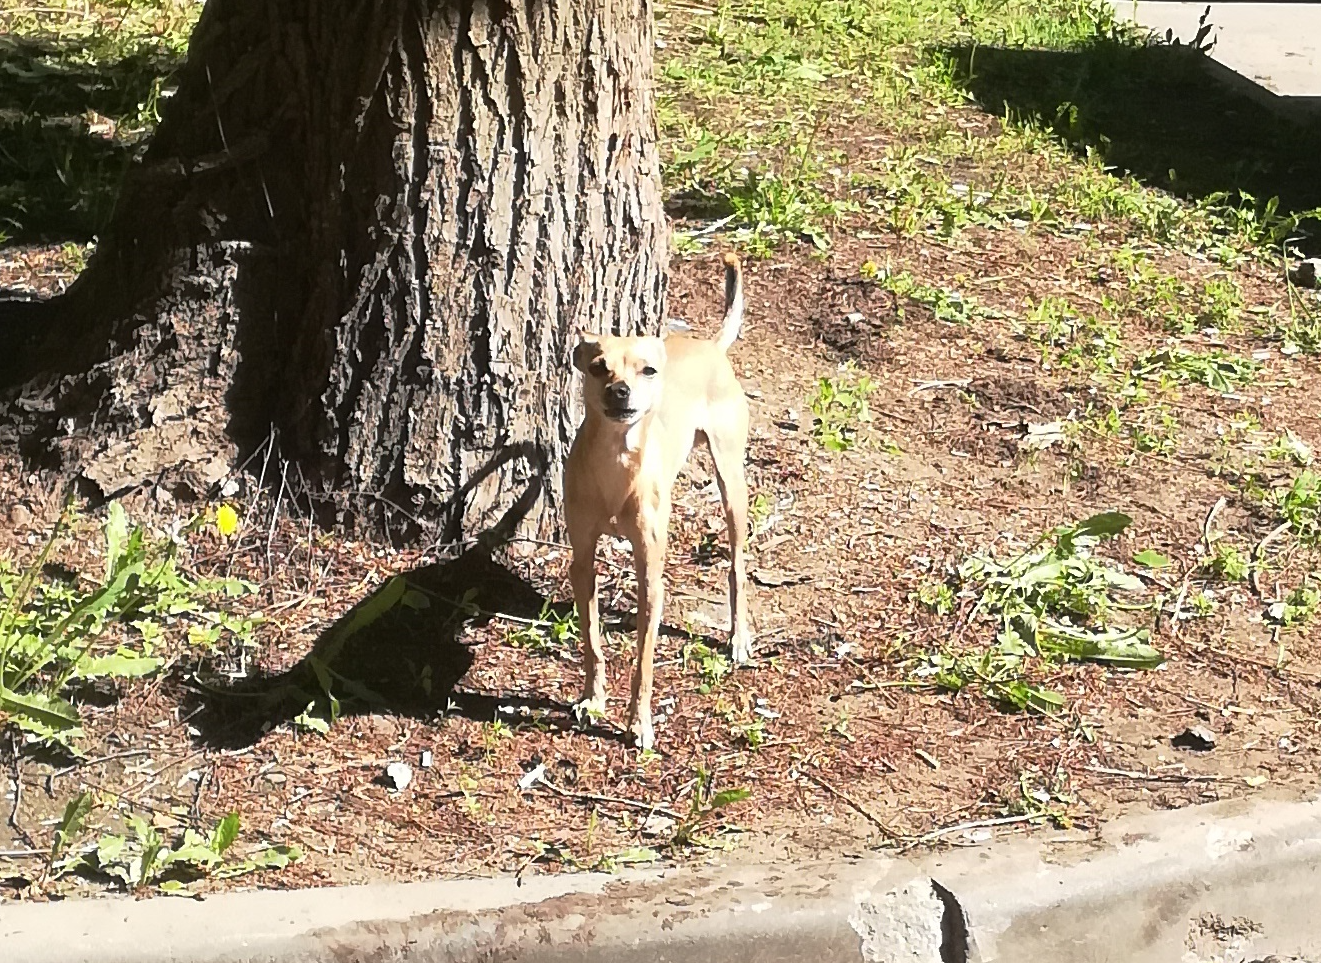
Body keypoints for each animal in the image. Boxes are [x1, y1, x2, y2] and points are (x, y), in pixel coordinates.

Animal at [568, 252, 755, 745]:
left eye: (647, 370)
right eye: (598, 367)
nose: (620, 391)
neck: (617, 465)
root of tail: (711, 347)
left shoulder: (651, 575)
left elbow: (645, 660)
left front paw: (639, 721)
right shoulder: (582, 561)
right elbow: (591, 640)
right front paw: (593, 699)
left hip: (732, 483)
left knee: (736, 564)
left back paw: (739, 636)